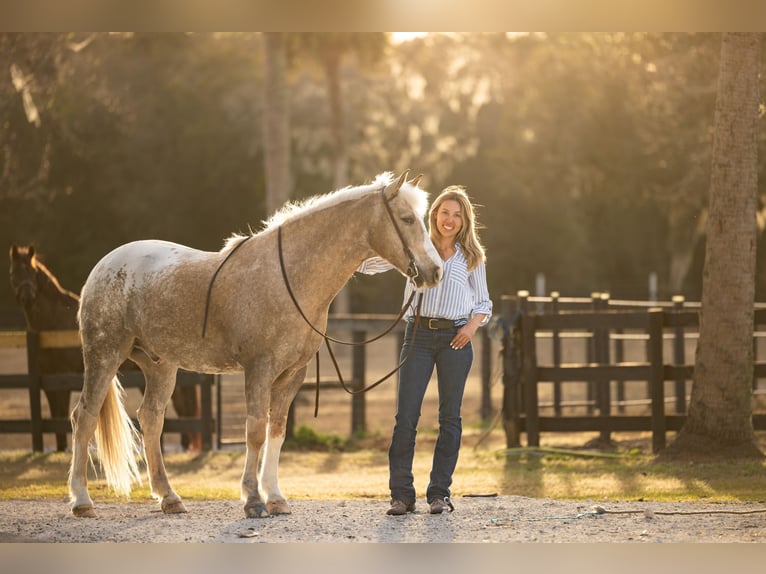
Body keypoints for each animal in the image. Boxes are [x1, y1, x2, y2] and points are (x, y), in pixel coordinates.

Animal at [8, 245, 202, 452]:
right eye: (13, 273)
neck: (52, 326)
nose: (26, 297)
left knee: (181, 406)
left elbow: (59, 416)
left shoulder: (61, 381)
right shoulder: (48, 383)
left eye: (30, 270)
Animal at [68, 170, 443, 519]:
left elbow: (277, 431)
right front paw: (252, 499)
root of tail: (104, 266)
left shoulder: (292, 374)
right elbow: (255, 432)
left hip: (160, 365)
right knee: (84, 416)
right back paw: (82, 501)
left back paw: (170, 498)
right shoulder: (259, 369)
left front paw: (275, 497)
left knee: (151, 418)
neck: (288, 277)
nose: (435, 271)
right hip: (105, 355)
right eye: (406, 219)